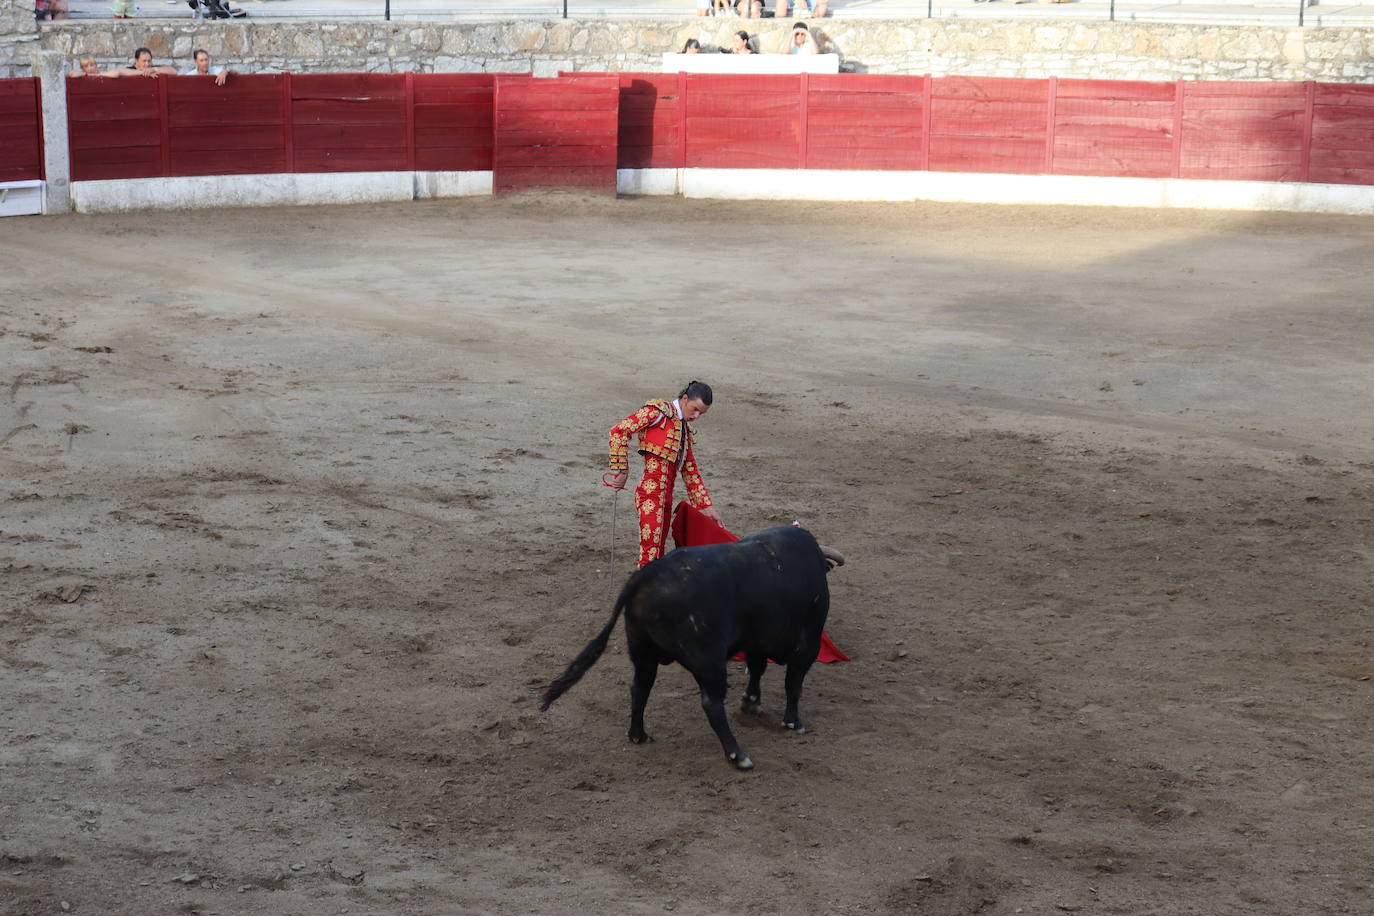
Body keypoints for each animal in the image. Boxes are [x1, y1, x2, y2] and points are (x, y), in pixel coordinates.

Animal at [538, 527, 840, 769]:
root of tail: (643, 578)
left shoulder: (756, 640)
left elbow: (757, 669)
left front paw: (751, 703)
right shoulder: (808, 641)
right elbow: (793, 683)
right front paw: (793, 723)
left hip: (642, 651)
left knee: (640, 688)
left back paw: (638, 735)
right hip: (709, 660)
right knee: (711, 704)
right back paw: (738, 755)